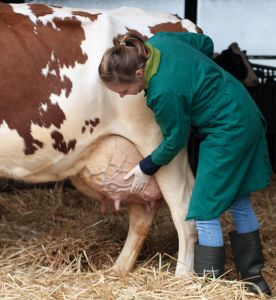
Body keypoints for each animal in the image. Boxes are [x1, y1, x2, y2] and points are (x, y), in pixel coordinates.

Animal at [0, 2, 198, 276]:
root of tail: (183, 23)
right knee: (143, 212)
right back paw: (118, 270)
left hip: (164, 144)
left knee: (183, 210)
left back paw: (181, 278)